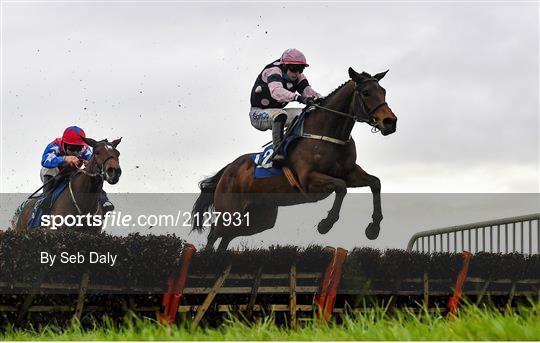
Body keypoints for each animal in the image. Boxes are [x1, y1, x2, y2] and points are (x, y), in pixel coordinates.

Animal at [193, 68, 396, 250]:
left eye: (384, 91)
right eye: (366, 92)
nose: (390, 122)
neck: (328, 133)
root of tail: (228, 170)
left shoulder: (349, 172)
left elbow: (375, 183)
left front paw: (373, 228)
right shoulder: (308, 180)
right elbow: (341, 186)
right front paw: (326, 223)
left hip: (260, 217)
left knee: (228, 237)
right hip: (229, 210)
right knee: (214, 233)